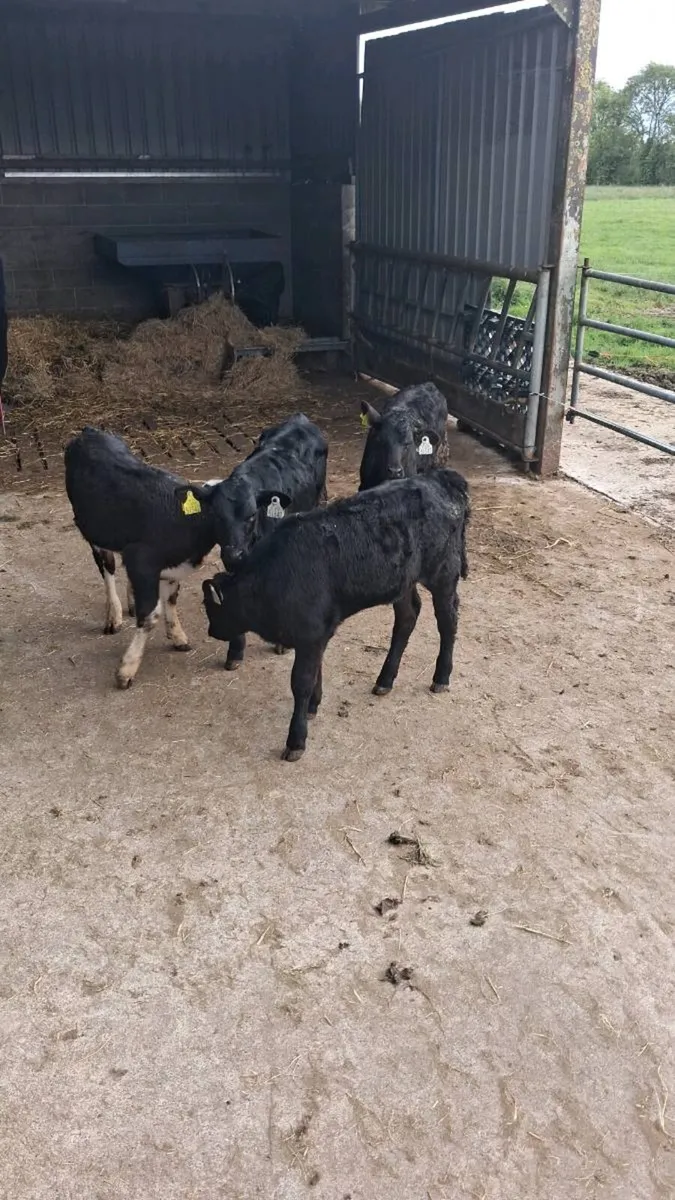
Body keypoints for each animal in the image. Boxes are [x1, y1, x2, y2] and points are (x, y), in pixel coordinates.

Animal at [64, 414, 327, 688]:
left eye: (252, 515)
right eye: (216, 515)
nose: (233, 555)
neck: (183, 520)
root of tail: (90, 431)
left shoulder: (167, 565)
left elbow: (170, 598)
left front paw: (177, 635)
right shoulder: (142, 561)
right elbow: (151, 614)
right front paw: (127, 668)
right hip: (90, 529)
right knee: (107, 567)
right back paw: (113, 616)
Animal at [202, 468, 470, 761]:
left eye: (211, 609)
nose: (211, 632)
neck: (274, 576)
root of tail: (439, 478)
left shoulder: (310, 634)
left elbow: (301, 682)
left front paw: (296, 739)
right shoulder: (317, 634)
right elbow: (316, 671)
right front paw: (314, 705)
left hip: (444, 573)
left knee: (448, 621)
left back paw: (441, 677)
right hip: (402, 581)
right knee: (407, 617)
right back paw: (385, 679)